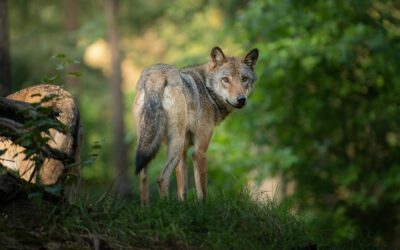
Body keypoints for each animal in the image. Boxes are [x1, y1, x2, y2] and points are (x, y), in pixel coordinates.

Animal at [134, 47, 260, 205]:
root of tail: (157, 75)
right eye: (226, 80)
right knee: (162, 178)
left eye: (244, 79)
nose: (241, 99)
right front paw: (203, 207)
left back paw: (146, 208)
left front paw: (182, 206)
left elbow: (182, 190)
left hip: (148, 146)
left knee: (143, 177)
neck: (207, 89)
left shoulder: (184, 152)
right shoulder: (199, 151)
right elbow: (202, 189)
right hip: (174, 146)